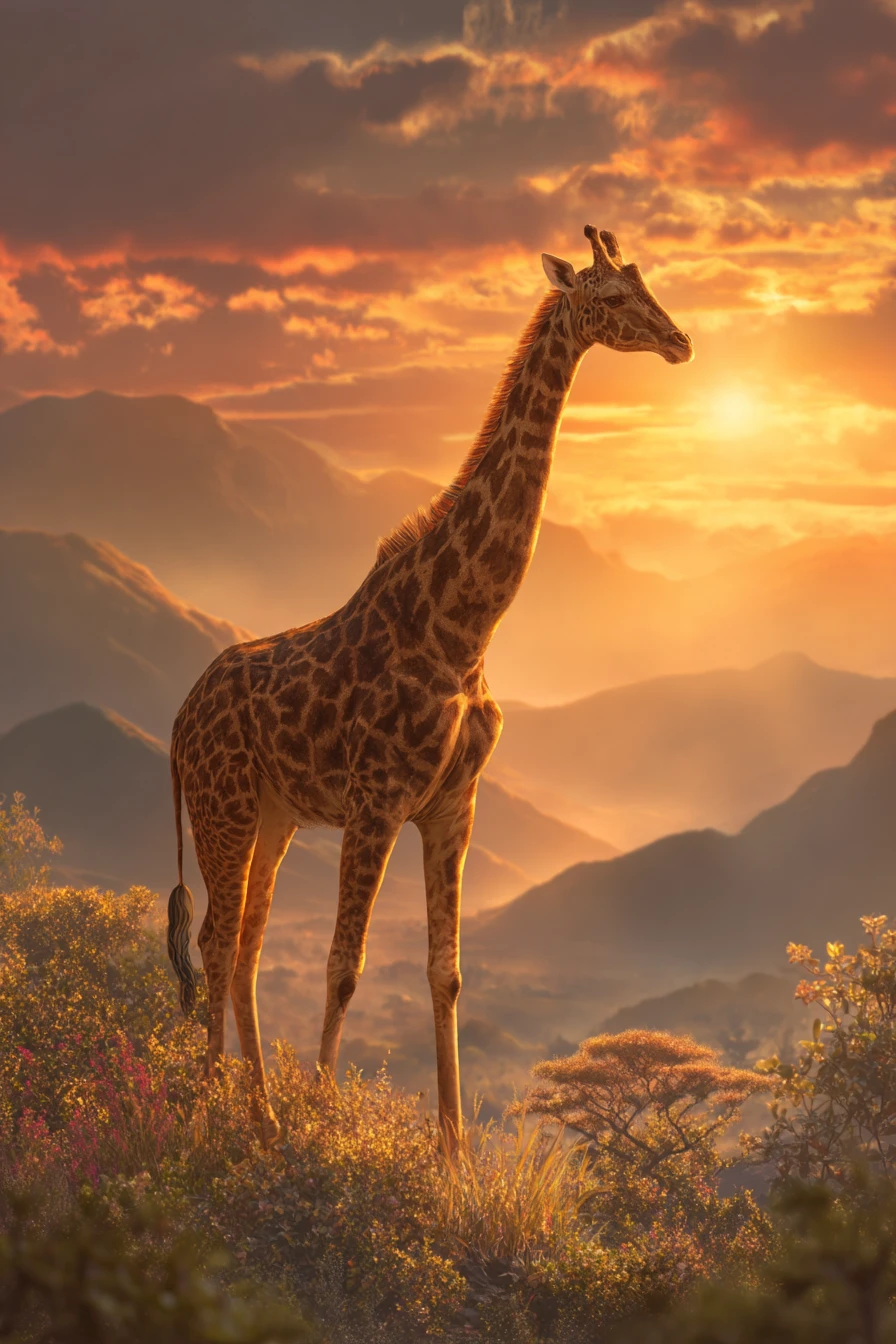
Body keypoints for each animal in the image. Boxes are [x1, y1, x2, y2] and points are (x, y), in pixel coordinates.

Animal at [167, 225, 693, 1152]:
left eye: (645, 282)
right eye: (611, 296)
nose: (679, 340)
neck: (462, 628)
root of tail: (177, 722)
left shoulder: (453, 805)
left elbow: (445, 974)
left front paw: (453, 1156)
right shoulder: (377, 802)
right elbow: (344, 967)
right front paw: (326, 1122)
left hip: (272, 814)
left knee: (249, 947)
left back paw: (262, 1111)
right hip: (220, 804)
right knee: (217, 940)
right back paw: (218, 1112)